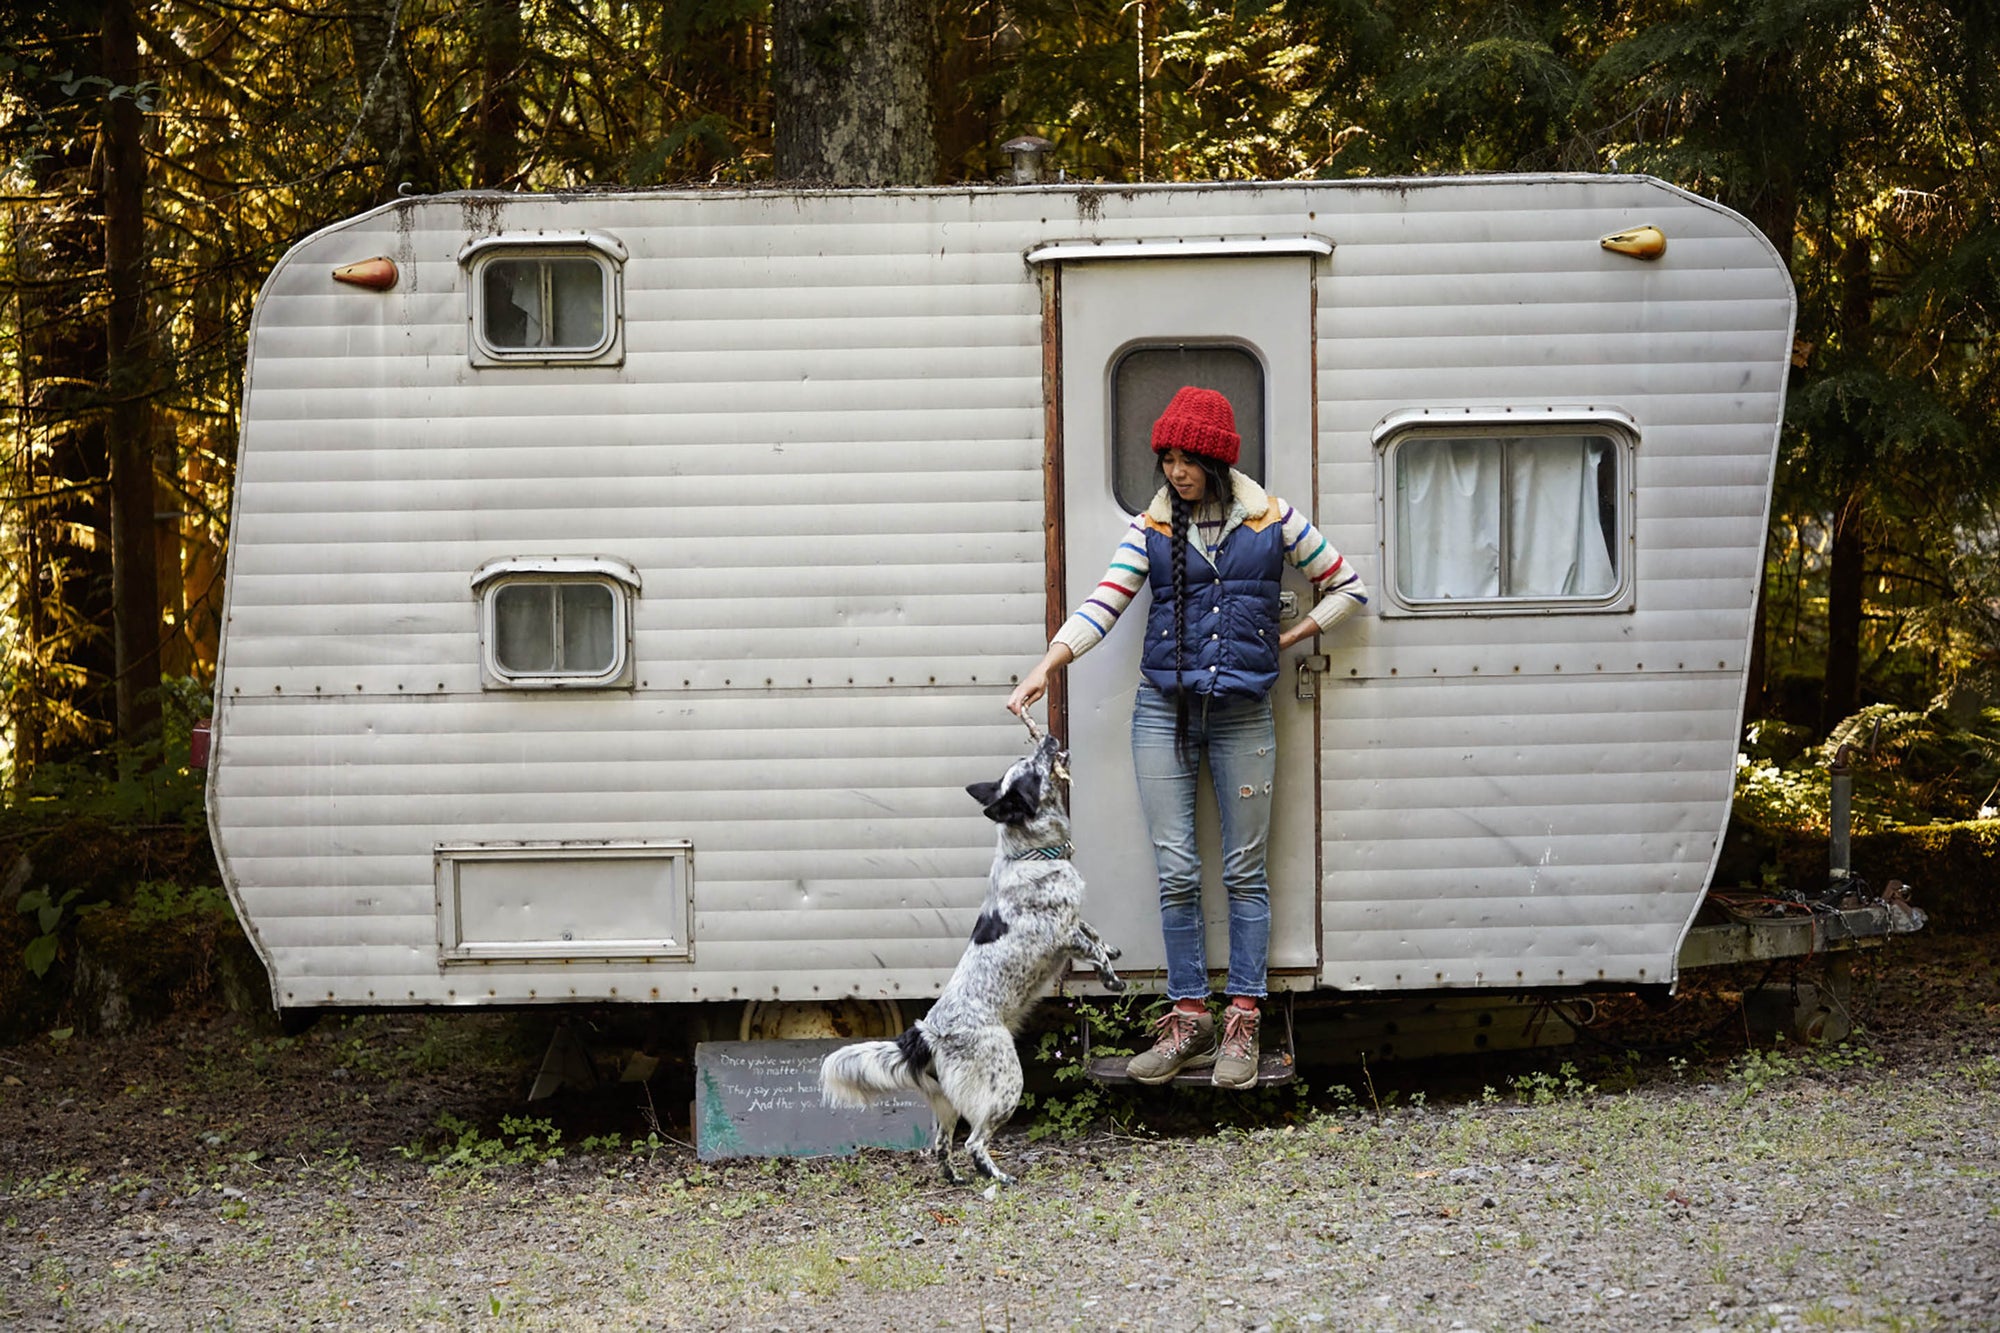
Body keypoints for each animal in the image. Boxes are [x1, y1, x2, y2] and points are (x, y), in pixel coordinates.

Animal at [816, 728, 1128, 1184]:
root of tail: (926, 1033)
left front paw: (1114, 949)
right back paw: (998, 1177)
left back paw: (956, 1178)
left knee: (942, 1146)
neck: (1030, 854)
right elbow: (1092, 949)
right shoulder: (1061, 933)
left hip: (946, 1103)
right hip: (1006, 1084)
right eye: (1032, 768)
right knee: (974, 1142)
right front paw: (1113, 979)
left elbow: (1096, 934)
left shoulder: (1075, 921)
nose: (1049, 738)